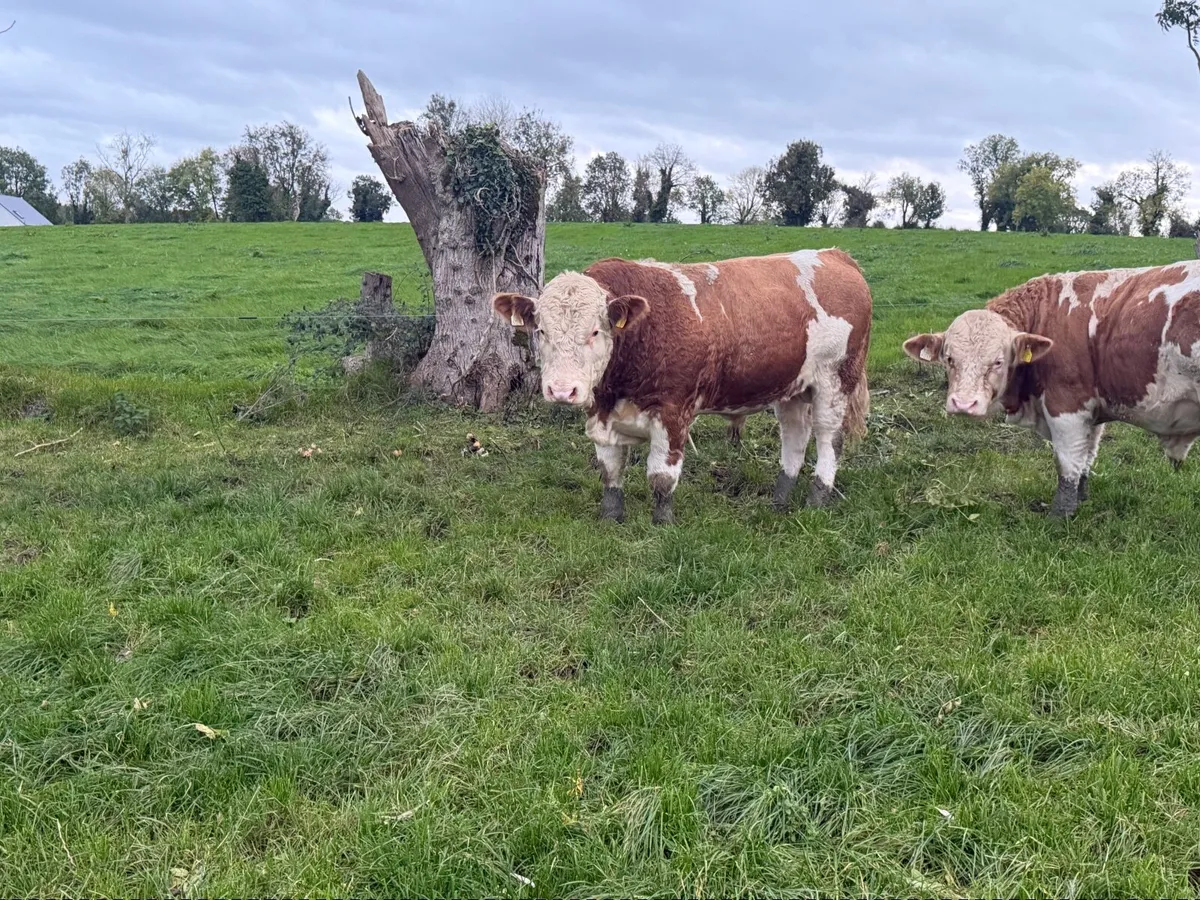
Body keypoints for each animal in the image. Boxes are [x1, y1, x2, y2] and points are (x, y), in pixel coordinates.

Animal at [492, 249, 873, 524]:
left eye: (595, 331)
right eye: (541, 331)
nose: (561, 390)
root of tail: (835, 254)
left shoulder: (673, 414)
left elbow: (661, 477)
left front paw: (662, 525)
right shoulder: (601, 414)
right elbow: (610, 469)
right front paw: (610, 518)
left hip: (836, 381)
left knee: (828, 440)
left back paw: (816, 499)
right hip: (792, 388)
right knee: (795, 438)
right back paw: (779, 501)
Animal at [903, 260, 1200, 517]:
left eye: (998, 361)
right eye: (949, 359)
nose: (964, 404)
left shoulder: (1066, 404)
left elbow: (1067, 463)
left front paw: (1060, 516)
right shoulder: (1093, 408)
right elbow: (1086, 458)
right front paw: (1081, 499)